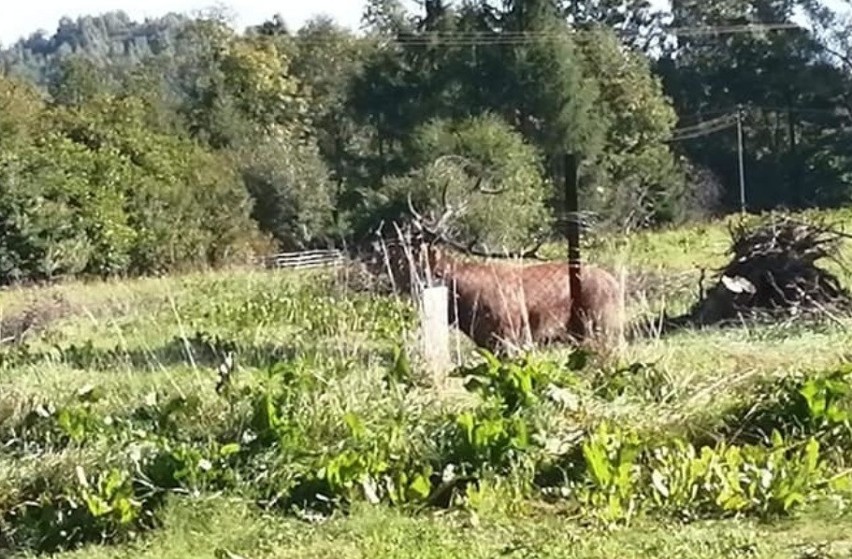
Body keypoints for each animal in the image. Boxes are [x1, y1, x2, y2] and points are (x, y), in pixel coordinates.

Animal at [368, 179, 624, 354]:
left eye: (407, 255)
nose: (379, 250)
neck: (465, 305)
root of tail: (615, 284)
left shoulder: (508, 337)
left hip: (601, 323)